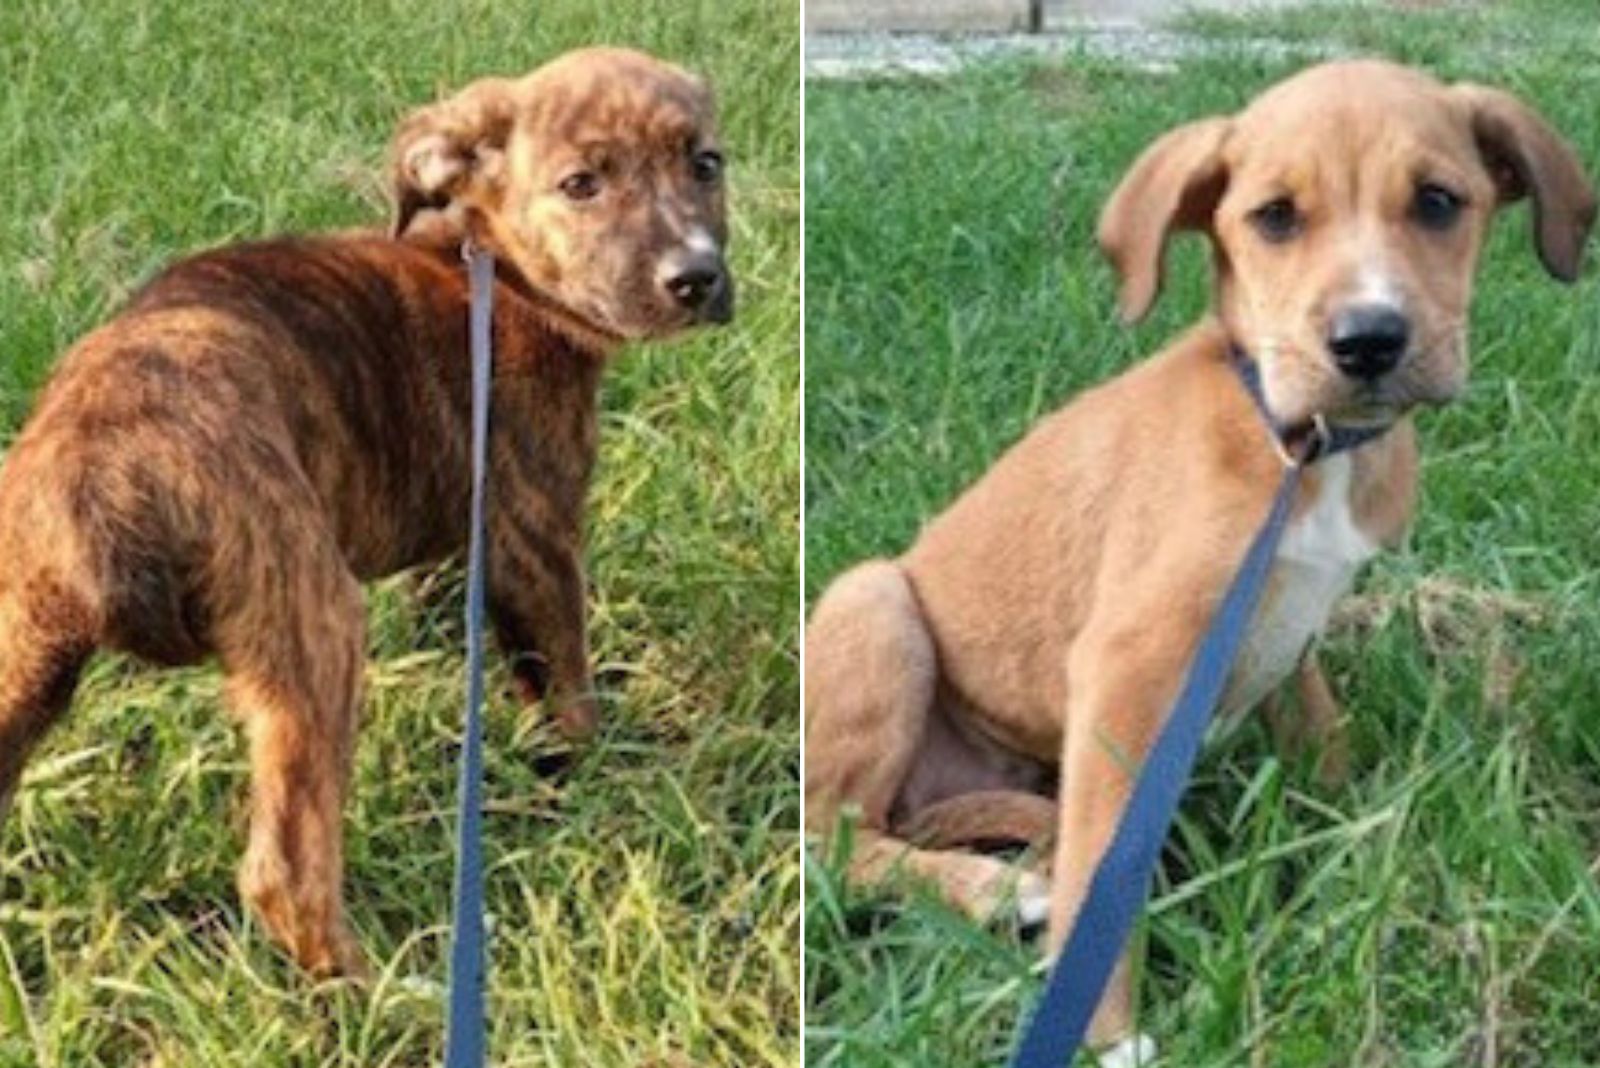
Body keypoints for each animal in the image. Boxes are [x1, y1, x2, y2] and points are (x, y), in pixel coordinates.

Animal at [0, 45, 732, 978]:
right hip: (313, 625)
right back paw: (382, 985)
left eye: (704, 164)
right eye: (581, 185)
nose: (697, 279)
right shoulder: (537, 537)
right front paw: (602, 771)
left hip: (21, 652)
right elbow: (567, 681)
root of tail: (100, 475)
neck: (485, 262)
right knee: (285, 874)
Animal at [806, 62, 1593, 1061]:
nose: (1369, 340)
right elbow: (1102, 872)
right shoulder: (1127, 668)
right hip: (871, 601)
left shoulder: (1290, 635)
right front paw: (1109, 1035)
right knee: (828, 839)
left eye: (1438, 202)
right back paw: (988, 889)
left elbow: (1326, 743)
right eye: (1275, 218)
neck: (1294, 442)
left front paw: (1360, 847)